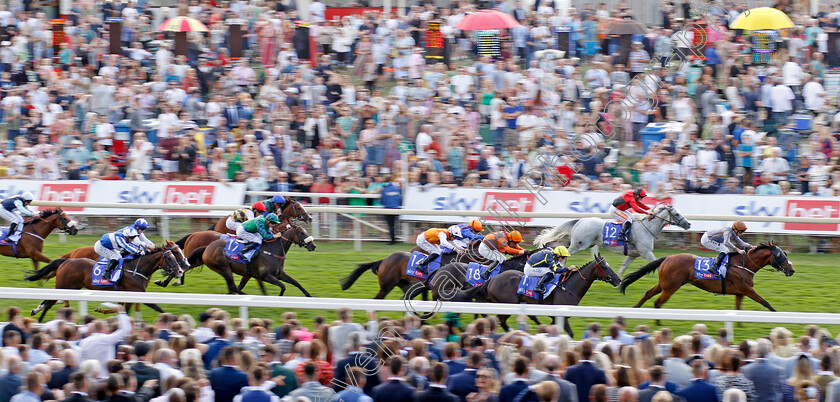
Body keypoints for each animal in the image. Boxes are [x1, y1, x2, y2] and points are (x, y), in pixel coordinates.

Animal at [24, 240, 185, 322]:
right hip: (64, 286)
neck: (136, 268)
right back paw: (39, 321)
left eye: (175, 254)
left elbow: (124, 310)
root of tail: (67, 260)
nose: (180, 271)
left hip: (72, 288)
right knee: (49, 303)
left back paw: (36, 311)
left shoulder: (130, 294)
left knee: (50, 301)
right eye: (170, 256)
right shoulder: (138, 292)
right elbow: (158, 307)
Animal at [452, 256, 624, 334]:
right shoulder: (560, 315)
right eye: (604, 267)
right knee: (501, 320)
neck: (568, 286)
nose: (618, 279)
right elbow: (569, 333)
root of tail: (493, 278)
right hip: (508, 304)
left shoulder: (556, 316)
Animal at [536, 204, 692, 276]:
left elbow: (623, 267)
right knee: (564, 253)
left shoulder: (633, 254)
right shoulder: (646, 252)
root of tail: (580, 220)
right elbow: (657, 265)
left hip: (588, 244)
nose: (688, 224)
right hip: (579, 244)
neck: (647, 227)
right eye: (677, 213)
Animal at [616, 240, 796, 312]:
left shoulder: (740, 292)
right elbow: (765, 302)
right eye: (780, 255)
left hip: (664, 284)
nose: (792, 270)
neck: (744, 264)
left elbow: (738, 309)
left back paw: (636, 309)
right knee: (658, 303)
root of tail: (668, 257)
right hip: (671, 287)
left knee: (648, 294)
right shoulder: (746, 289)